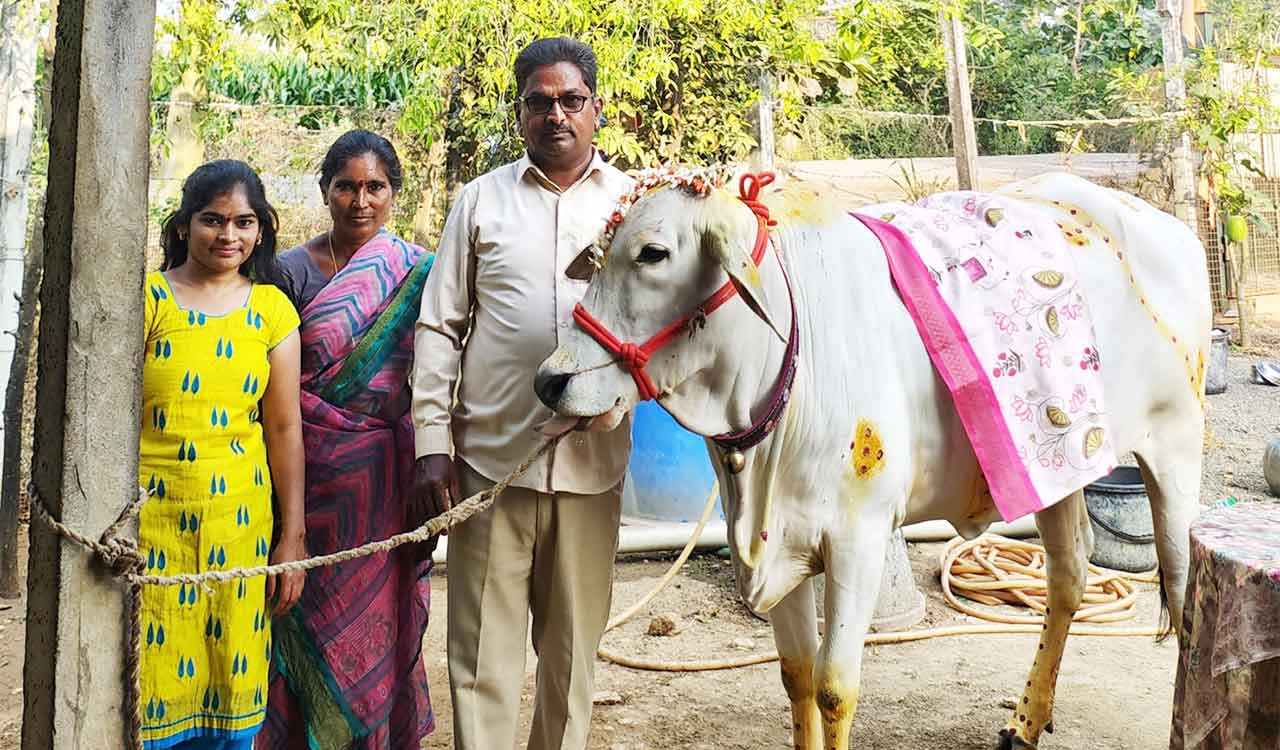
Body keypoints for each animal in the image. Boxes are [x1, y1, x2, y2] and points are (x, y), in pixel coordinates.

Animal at [533, 170, 1208, 750]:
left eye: (653, 253)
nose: (550, 381)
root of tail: (1165, 226)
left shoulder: (857, 536)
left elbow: (834, 687)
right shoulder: (779, 540)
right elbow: (796, 674)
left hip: (1176, 445)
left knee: (1180, 591)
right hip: (1056, 477)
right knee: (1068, 575)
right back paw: (1025, 722)